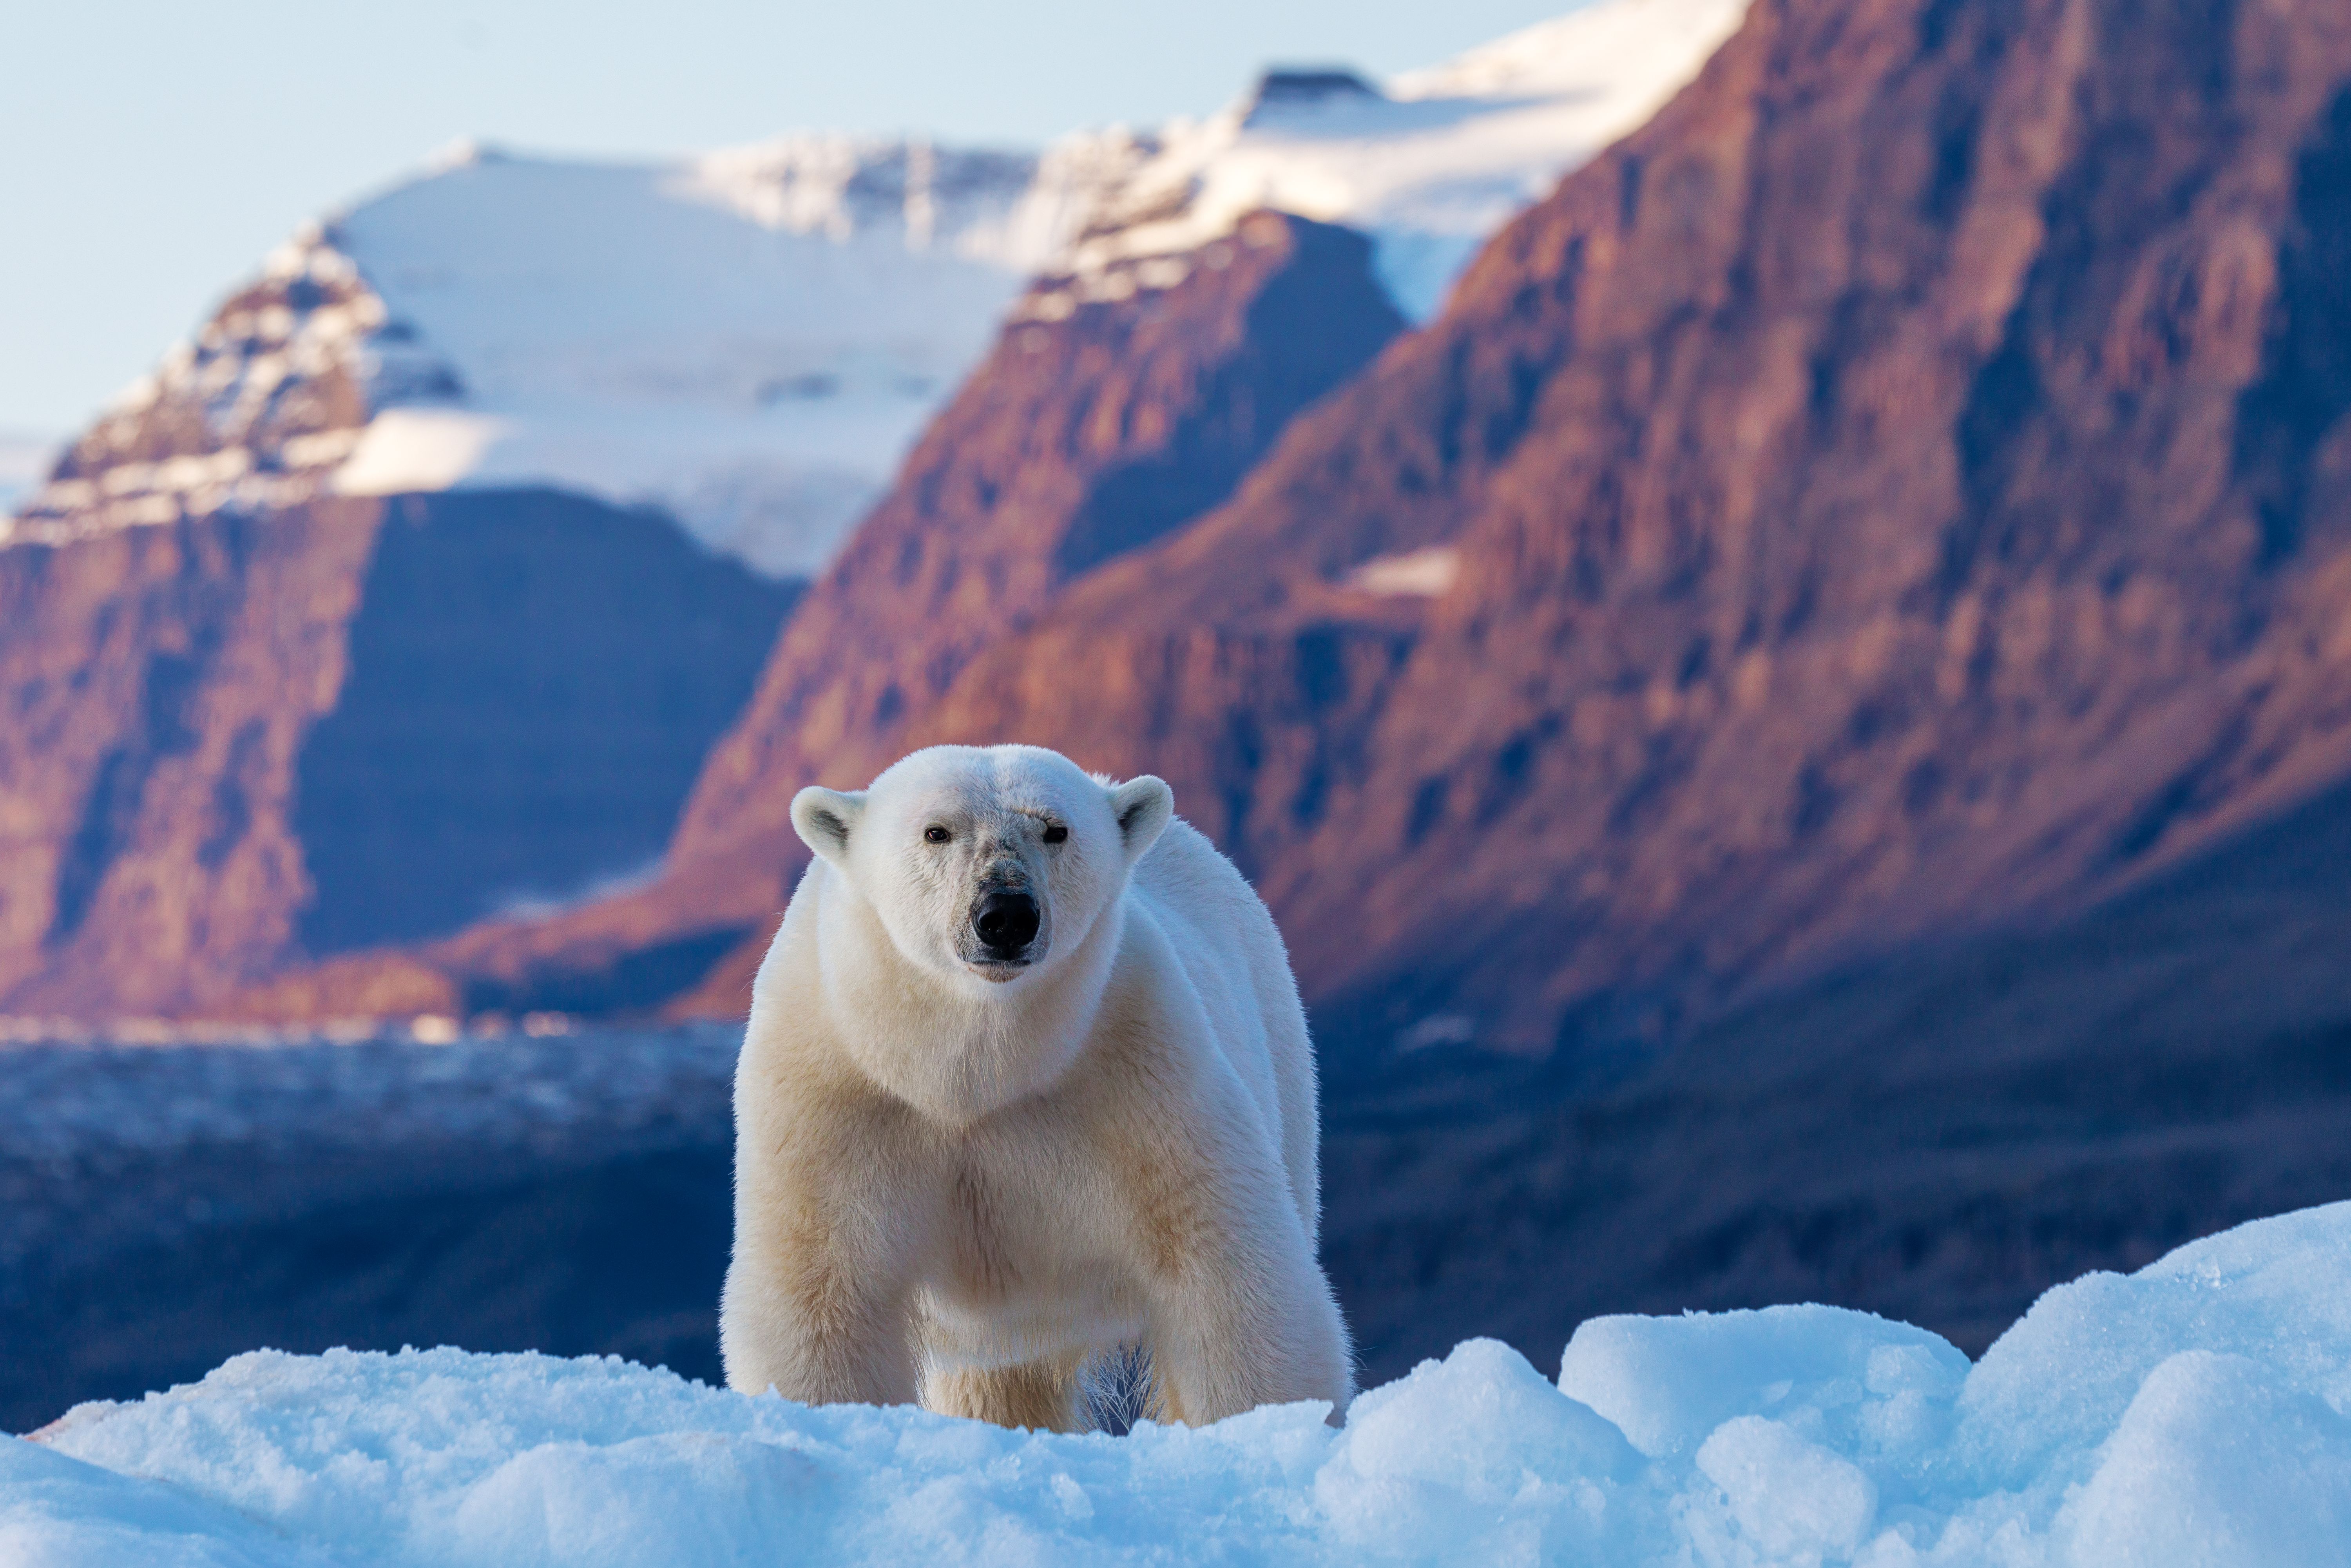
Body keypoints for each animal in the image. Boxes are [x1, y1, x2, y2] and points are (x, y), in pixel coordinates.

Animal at [718, 743, 1354, 1431]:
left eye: (1056, 829)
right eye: (937, 831)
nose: (1005, 916)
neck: (973, 1074)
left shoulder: (1141, 1072)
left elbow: (1226, 1275)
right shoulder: (835, 1096)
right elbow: (822, 1295)